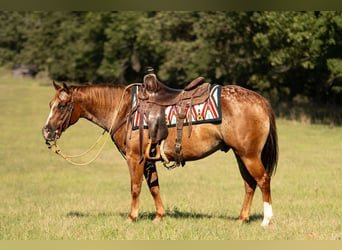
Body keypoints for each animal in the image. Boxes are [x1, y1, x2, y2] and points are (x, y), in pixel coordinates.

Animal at [42, 77, 278, 227]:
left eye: (62, 106)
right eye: (50, 104)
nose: (47, 131)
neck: (125, 109)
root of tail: (260, 100)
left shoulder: (135, 158)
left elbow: (135, 188)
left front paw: (132, 217)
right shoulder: (148, 160)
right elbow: (154, 187)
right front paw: (159, 216)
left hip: (249, 155)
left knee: (263, 180)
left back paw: (266, 220)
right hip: (241, 155)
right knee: (249, 184)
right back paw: (241, 218)